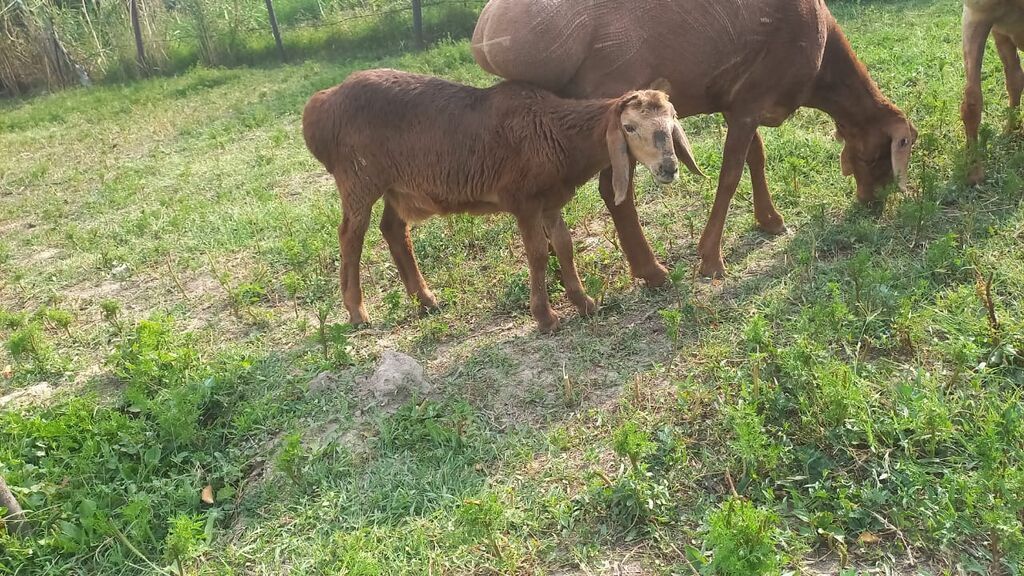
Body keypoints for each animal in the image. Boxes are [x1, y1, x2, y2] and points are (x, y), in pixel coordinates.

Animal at [302, 69, 702, 333]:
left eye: (672, 120)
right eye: (630, 127)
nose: (668, 168)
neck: (555, 133)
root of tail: (318, 107)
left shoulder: (550, 201)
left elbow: (565, 245)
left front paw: (584, 303)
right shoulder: (523, 199)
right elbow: (538, 253)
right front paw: (545, 318)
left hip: (398, 186)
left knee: (393, 229)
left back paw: (426, 301)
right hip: (358, 179)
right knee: (350, 236)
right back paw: (357, 312)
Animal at [961, 0, 1024, 184]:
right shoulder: (976, 13)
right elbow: (972, 99)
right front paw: (974, 170)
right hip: (1001, 33)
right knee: (1015, 77)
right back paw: (1011, 130)